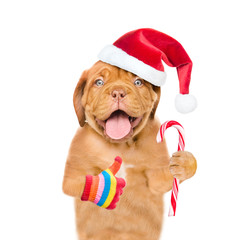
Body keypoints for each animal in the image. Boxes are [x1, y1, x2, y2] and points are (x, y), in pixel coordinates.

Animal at [62, 61, 197, 240]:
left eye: (138, 82)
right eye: (99, 82)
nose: (118, 92)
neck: (121, 145)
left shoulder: (156, 179)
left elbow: (165, 179)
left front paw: (184, 163)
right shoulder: (74, 172)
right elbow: (79, 183)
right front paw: (107, 185)